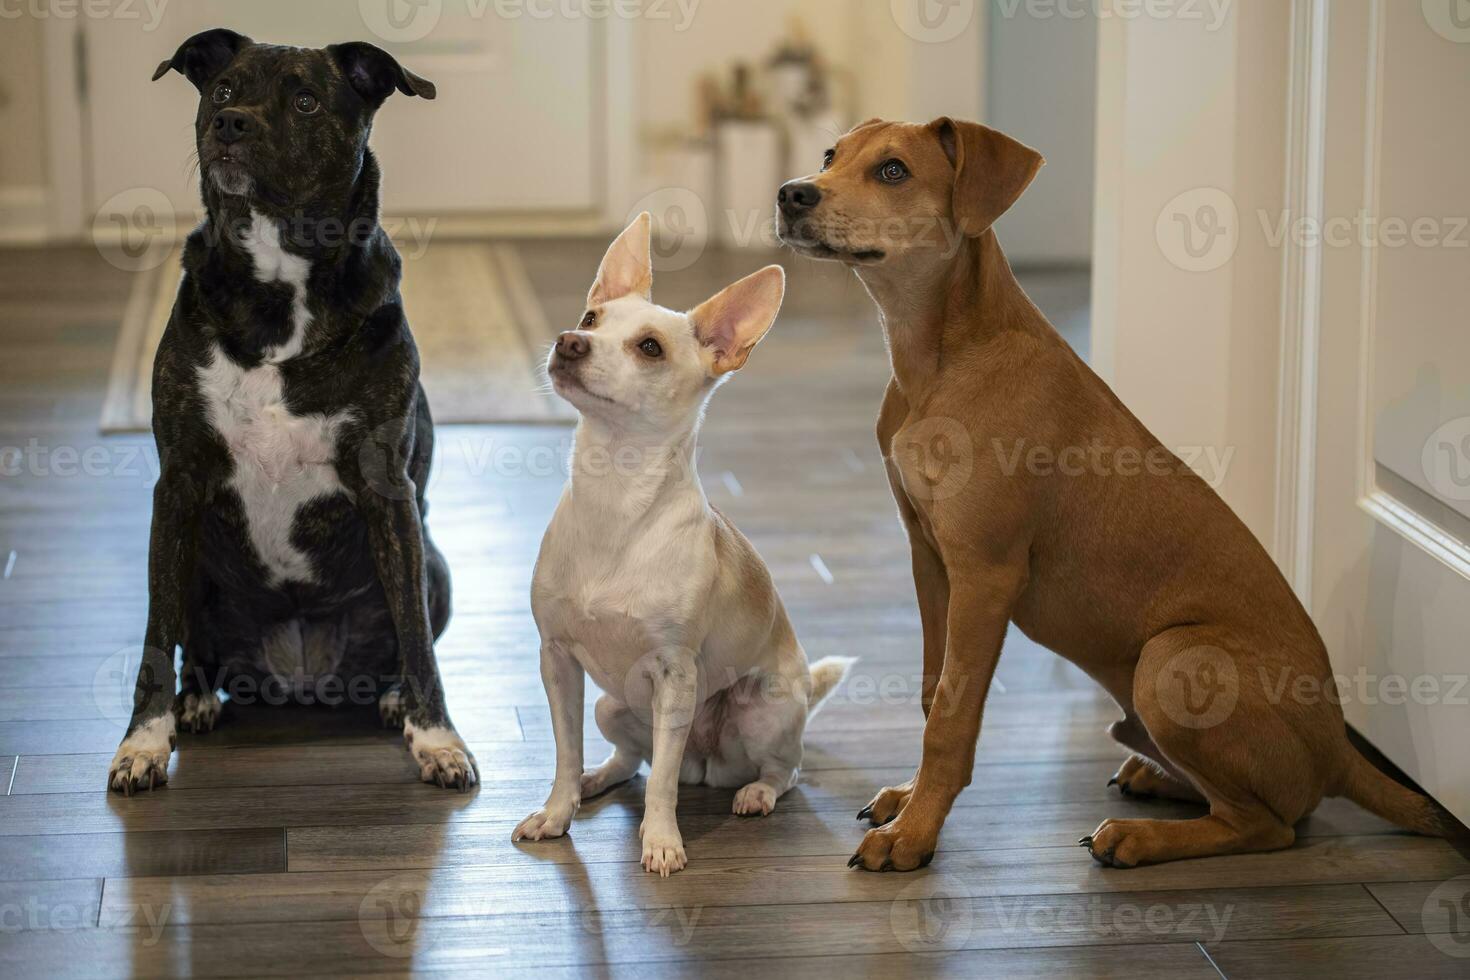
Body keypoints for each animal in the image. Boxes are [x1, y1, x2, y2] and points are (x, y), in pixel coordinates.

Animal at [108, 30, 476, 793]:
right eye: (223, 89)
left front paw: (436, 737)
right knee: (193, 647)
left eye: (305, 100)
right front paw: (141, 745)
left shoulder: (385, 487)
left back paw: (392, 697)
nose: (230, 124)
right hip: (192, 555)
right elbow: (156, 635)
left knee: (407, 630)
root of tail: (300, 677)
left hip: (434, 563)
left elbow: (418, 639)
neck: (279, 284)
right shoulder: (177, 486)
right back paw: (195, 700)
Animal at [776, 116, 1452, 875]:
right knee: (1267, 806)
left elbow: (951, 716)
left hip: (1171, 657)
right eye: (830, 155)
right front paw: (911, 799)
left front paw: (914, 835)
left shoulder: (986, 573)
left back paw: (1139, 837)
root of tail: (1342, 750)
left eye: (893, 171)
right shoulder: (929, 558)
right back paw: (1155, 781)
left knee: (1270, 825)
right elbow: (930, 691)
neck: (941, 360)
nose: (792, 193)